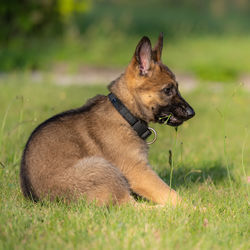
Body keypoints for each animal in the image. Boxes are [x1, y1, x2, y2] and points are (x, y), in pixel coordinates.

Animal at [20, 34, 195, 206]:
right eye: (168, 90)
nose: (192, 113)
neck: (125, 113)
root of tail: (39, 200)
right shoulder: (138, 171)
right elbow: (171, 195)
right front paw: (191, 208)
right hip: (102, 167)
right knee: (132, 207)